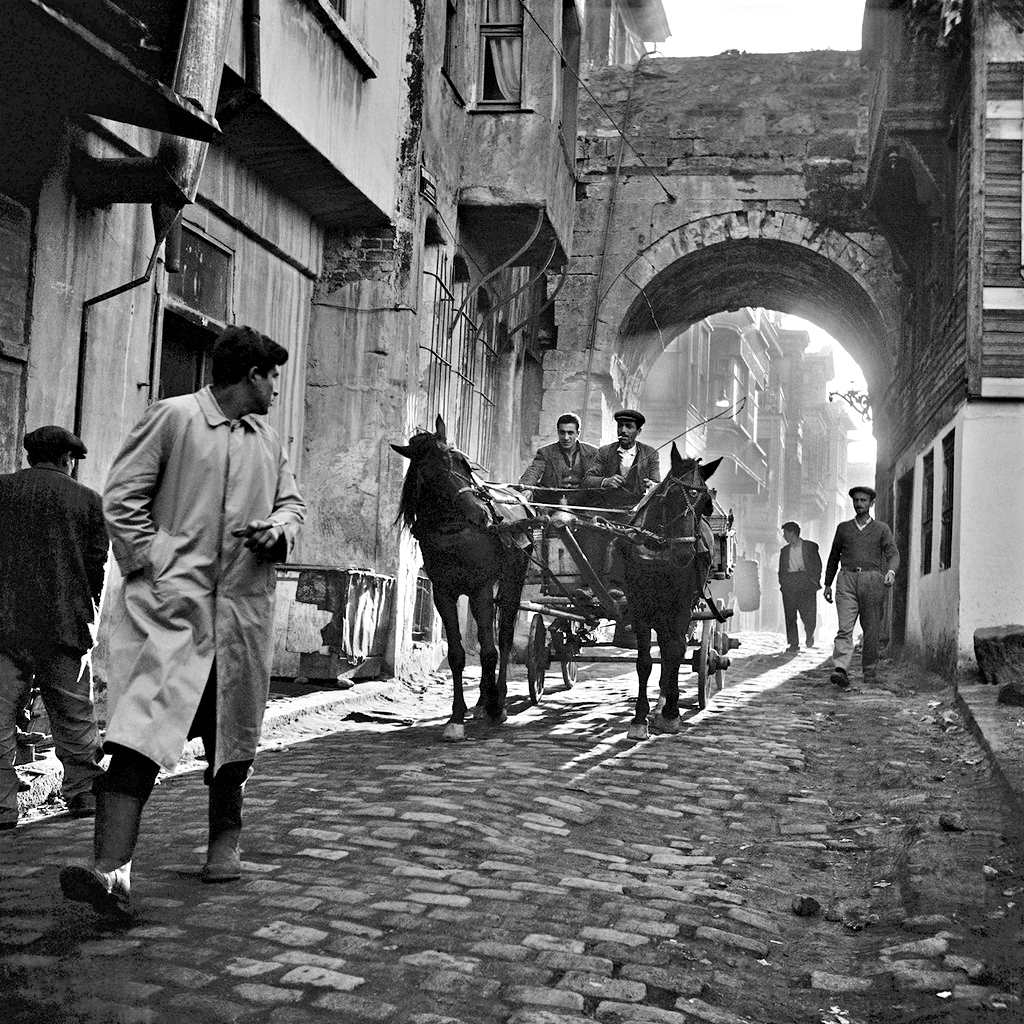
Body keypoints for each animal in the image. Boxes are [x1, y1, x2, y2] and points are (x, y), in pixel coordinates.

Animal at [391, 416, 530, 741]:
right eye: (430, 474)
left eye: (463, 463)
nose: (482, 514)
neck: (453, 533)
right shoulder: (443, 593)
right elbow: (456, 654)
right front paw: (457, 717)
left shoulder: (480, 589)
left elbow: (490, 651)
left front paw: (495, 707)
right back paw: (481, 702)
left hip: (512, 579)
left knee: (503, 639)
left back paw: (497, 698)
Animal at [617, 444, 722, 740]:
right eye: (670, 495)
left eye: (705, 503)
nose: (685, 553)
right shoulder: (639, 605)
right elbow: (644, 661)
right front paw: (639, 718)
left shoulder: (681, 606)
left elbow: (675, 653)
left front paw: (672, 714)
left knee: (673, 649)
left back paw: (665, 704)